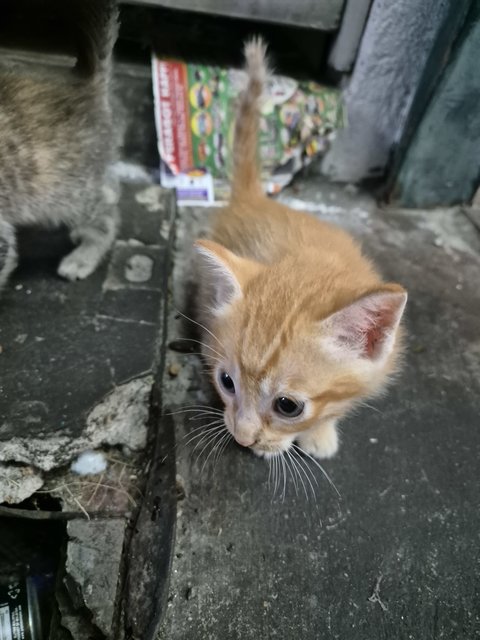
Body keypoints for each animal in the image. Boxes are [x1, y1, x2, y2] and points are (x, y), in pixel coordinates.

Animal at [193, 40, 406, 460]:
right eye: (226, 382)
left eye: (287, 406)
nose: (242, 437)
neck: (309, 263)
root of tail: (258, 198)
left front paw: (319, 431)